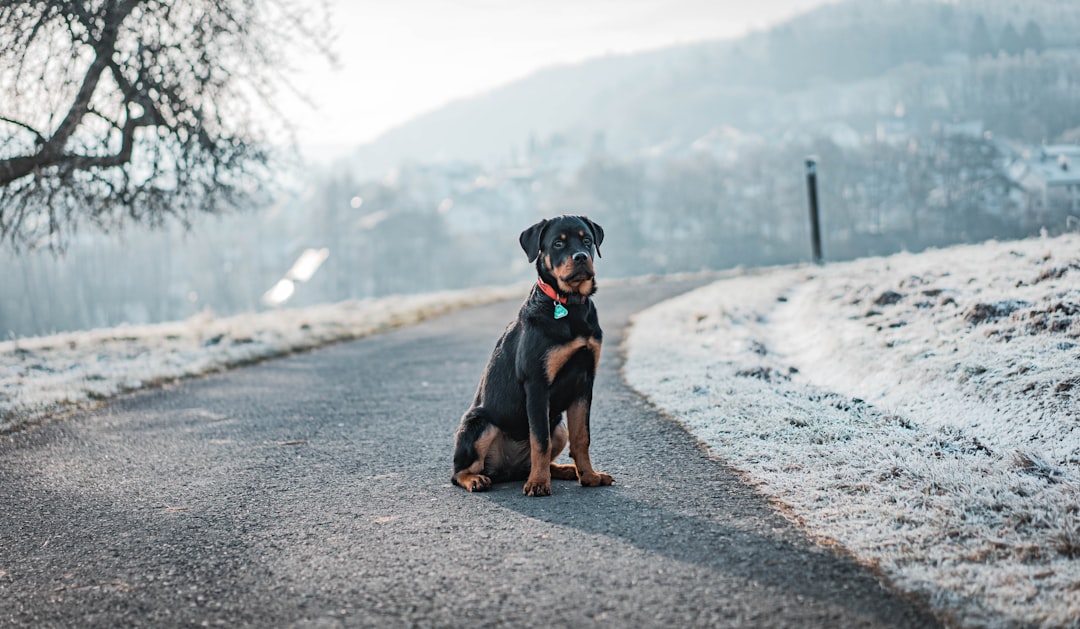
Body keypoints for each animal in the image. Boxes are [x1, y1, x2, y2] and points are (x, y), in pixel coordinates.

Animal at [451, 216, 613, 497]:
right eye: (558, 243)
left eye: (587, 241)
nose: (581, 257)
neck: (568, 305)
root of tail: (506, 470)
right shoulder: (537, 384)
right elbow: (539, 440)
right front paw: (538, 484)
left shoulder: (584, 382)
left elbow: (582, 437)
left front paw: (589, 476)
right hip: (480, 424)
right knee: (459, 472)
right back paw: (476, 479)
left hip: (558, 426)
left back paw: (564, 471)